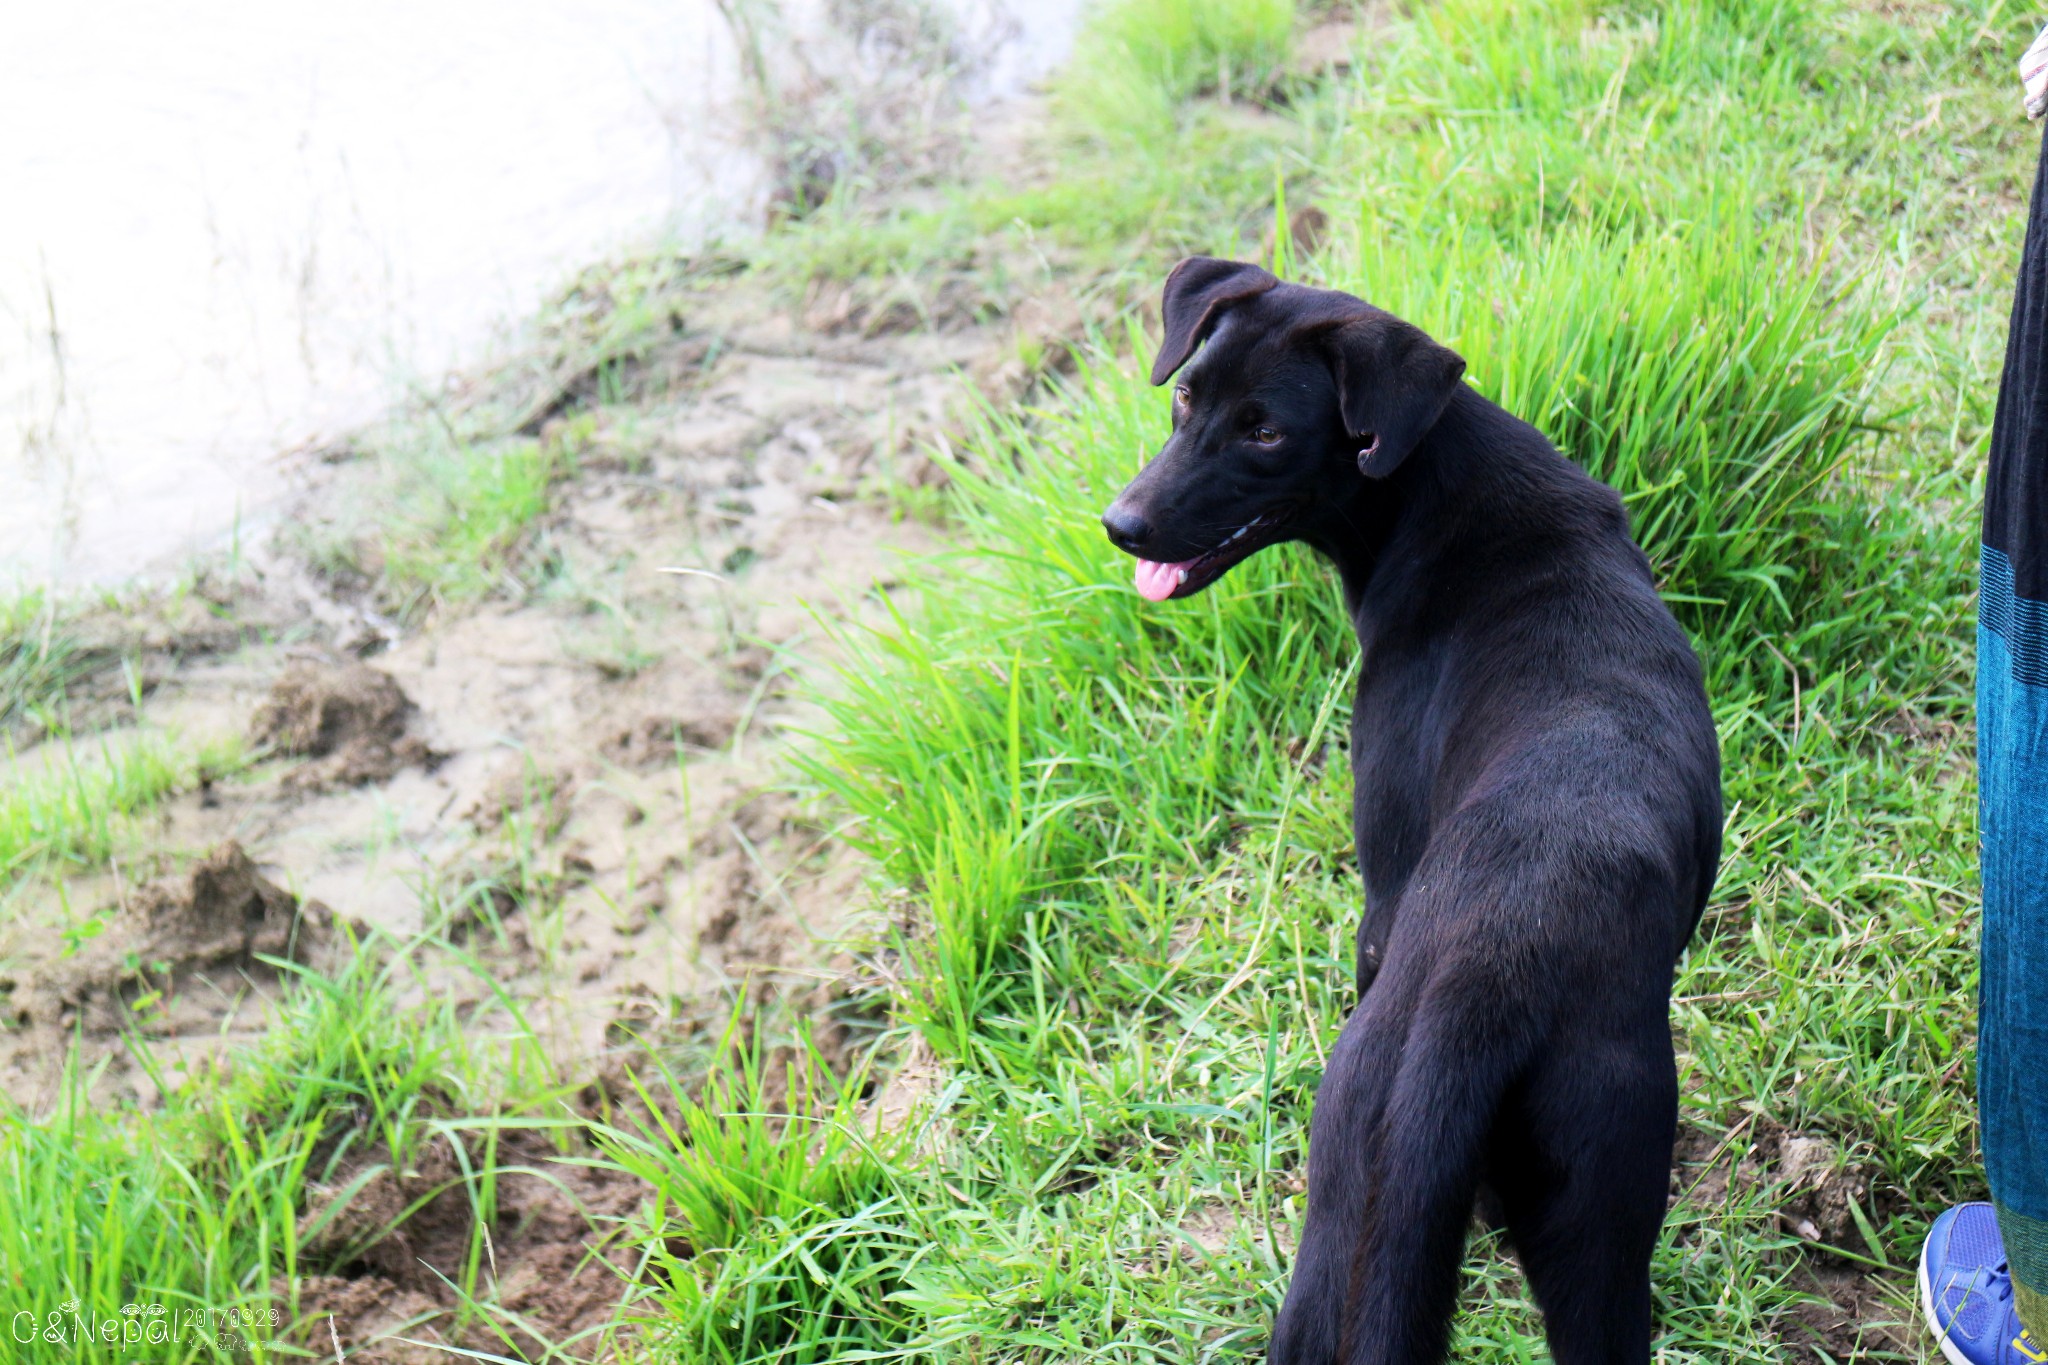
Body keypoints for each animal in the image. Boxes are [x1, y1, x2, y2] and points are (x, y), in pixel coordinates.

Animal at [1097, 253, 1720, 1365]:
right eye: (1185, 396)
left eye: (1266, 431)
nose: (1121, 525)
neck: (1441, 500)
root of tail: (1479, 989)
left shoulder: (1381, 896)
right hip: (1568, 1231)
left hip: (1362, 1202)